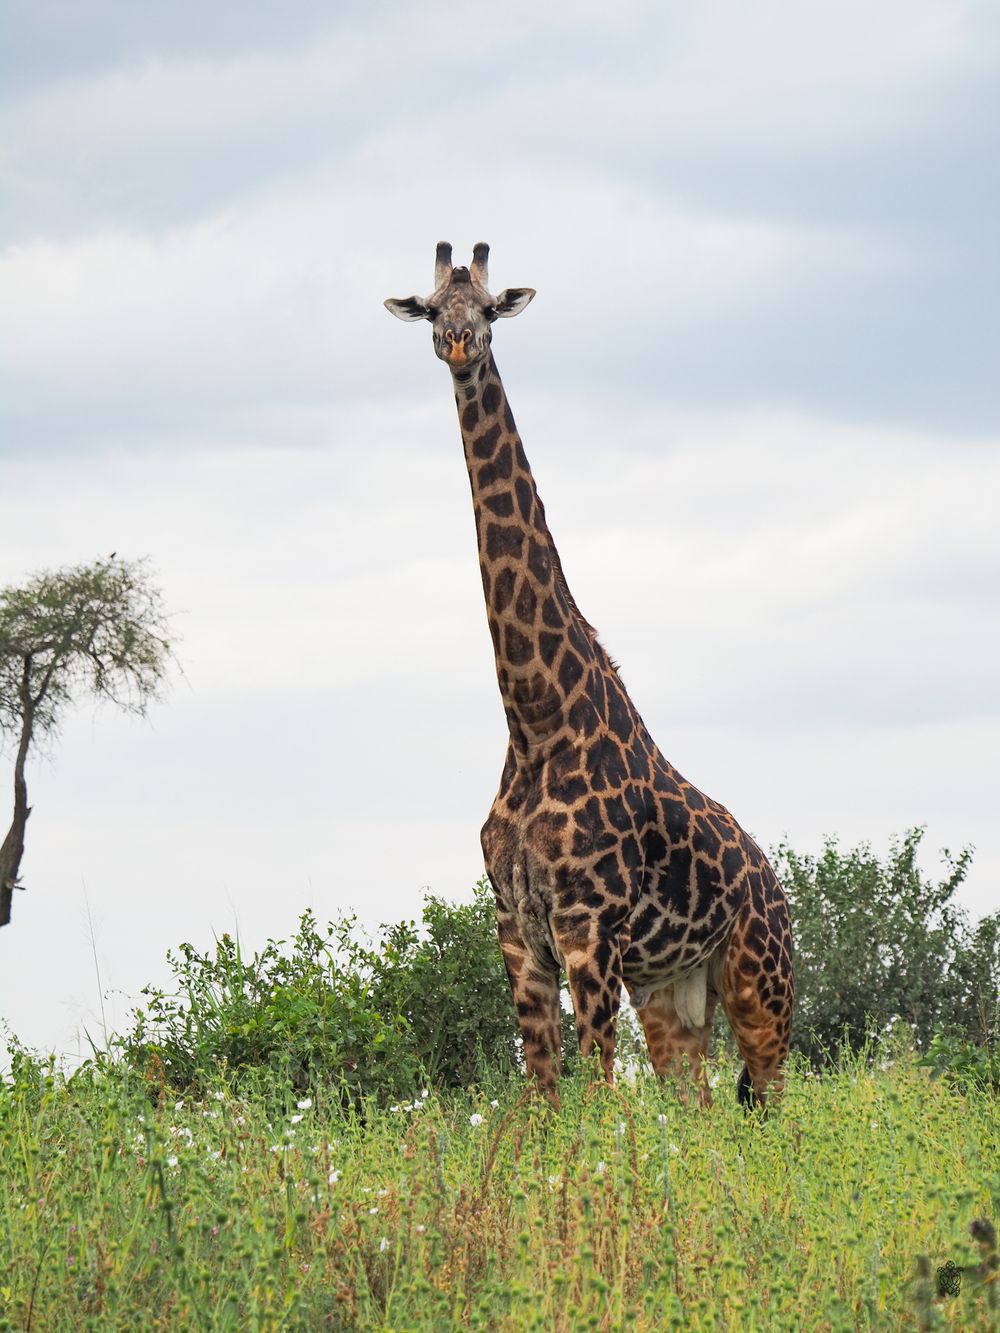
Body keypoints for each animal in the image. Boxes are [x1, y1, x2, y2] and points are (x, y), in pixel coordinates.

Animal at [385, 243, 793, 1109]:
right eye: (434, 309)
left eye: (491, 310)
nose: (461, 345)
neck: (535, 718)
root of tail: (779, 890)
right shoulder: (518, 930)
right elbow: (545, 1097)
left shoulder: (589, 929)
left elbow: (596, 1099)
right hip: (674, 989)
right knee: (699, 1104)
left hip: (760, 983)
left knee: (781, 1107)